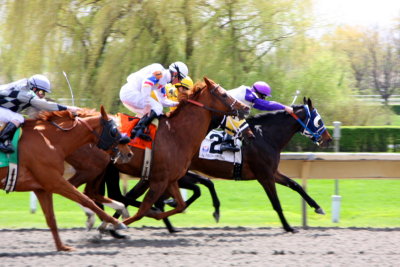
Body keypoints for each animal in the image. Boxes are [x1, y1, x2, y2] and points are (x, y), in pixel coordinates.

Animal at [0, 106, 131, 251]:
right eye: (114, 130)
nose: (128, 153)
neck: (50, 140)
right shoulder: (55, 182)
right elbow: (86, 199)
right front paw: (116, 223)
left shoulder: (42, 188)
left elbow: (51, 218)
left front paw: (62, 247)